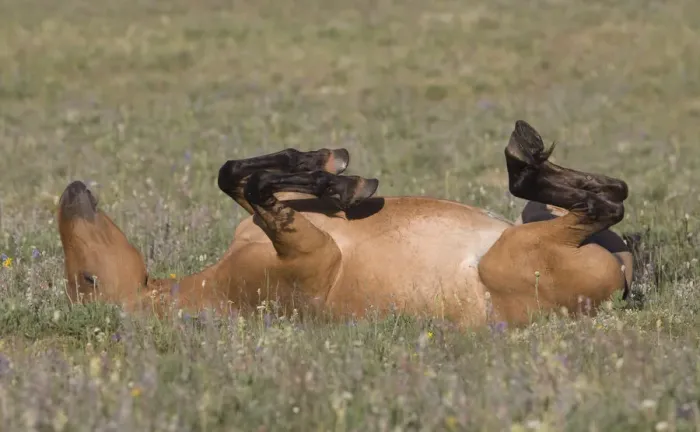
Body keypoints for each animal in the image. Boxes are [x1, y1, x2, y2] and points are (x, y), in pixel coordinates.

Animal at [57, 120, 632, 328]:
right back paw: (525, 156)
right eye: (85, 281)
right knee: (600, 204)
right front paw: (343, 182)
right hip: (510, 254)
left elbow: (237, 176)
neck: (210, 289)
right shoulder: (310, 258)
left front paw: (327, 166)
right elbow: (253, 186)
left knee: (611, 196)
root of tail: (621, 290)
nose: (69, 193)